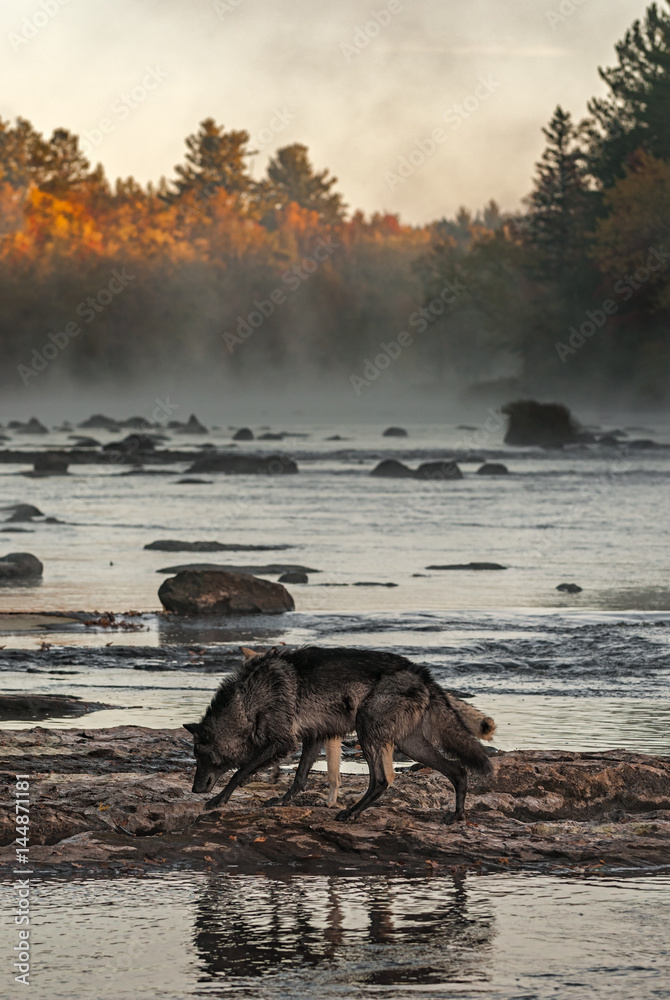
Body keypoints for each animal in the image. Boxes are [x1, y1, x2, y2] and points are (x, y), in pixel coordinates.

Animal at [184, 645, 493, 823]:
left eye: (201, 756)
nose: (195, 789)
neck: (247, 700)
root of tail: (422, 674)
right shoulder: (313, 737)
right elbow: (299, 777)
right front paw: (283, 801)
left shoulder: (281, 742)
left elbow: (240, 771)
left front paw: (218, 801)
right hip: (410, 744)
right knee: (458, 771)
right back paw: (457, 815)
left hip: (367, 730)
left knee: (381, 780)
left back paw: (352, 812)